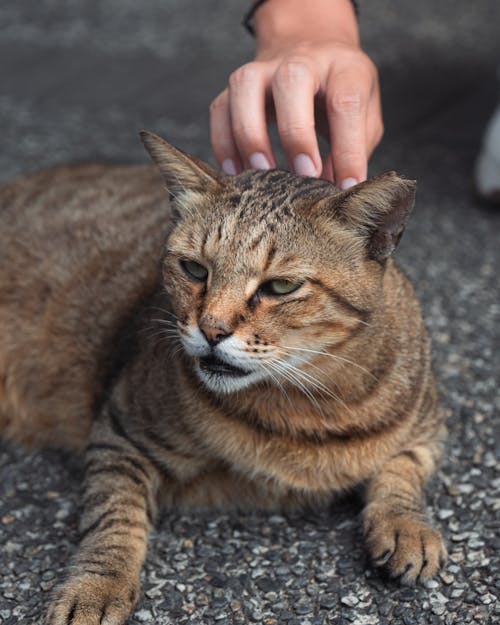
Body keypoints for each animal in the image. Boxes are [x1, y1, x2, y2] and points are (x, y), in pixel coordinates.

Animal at [0, 133, 448, 624]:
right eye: (195, 269)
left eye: (280, 287)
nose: (211, 329)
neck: (304, 405)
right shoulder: (120, 431)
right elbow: (113, 520)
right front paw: (97, 586)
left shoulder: (428, 427)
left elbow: (402, 470)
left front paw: (406, 526)